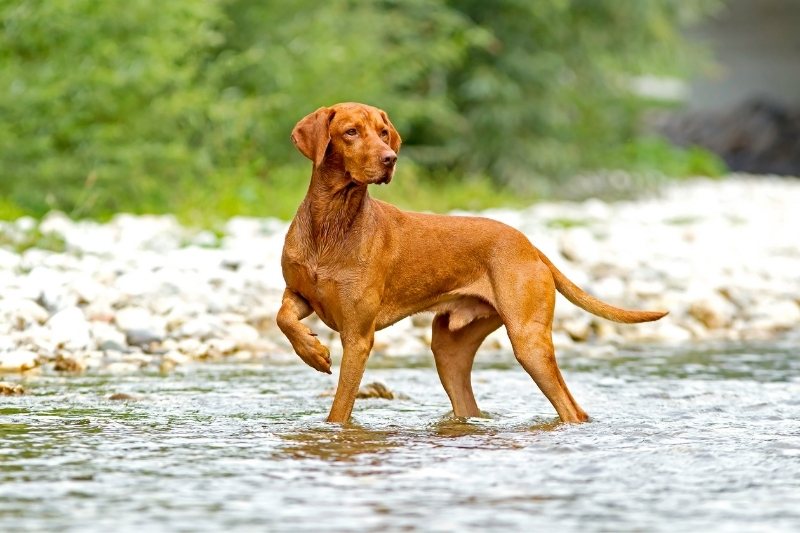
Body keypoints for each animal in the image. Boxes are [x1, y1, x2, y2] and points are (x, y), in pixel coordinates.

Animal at [278, 102, 664, 422]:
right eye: (351, 132)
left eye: (383, 132)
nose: (390, 159)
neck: (331, 224)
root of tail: (530, 245)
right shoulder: (300, 294)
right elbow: (283, 318)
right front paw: (311, 351)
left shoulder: (358, 336)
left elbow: (339, 410)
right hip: (449, 350)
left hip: (528, 341)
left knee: (572, 409)